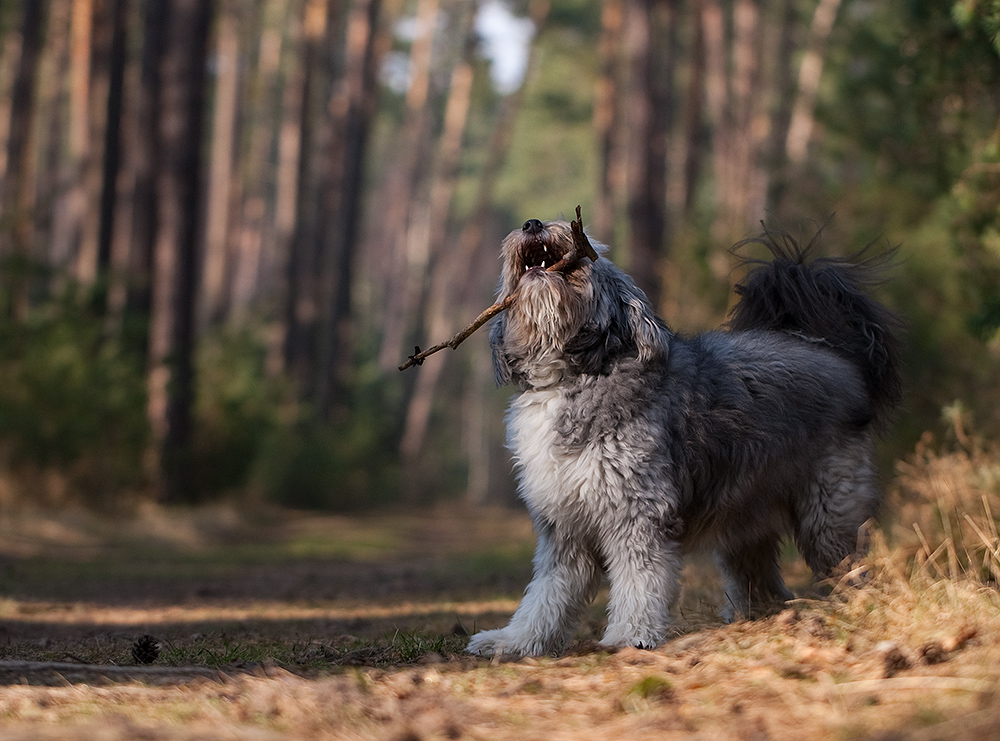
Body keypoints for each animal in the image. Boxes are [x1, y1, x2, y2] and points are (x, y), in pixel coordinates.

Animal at [464, 217, 904, 656]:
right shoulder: (564, 525)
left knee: (850, 566)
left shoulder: (637, 511)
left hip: (828, 513)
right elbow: (547, 593)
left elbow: (639, 579)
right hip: (746, 517)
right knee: (763, 581)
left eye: (591, 251)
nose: (533, 224)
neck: (577, 375)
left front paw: (631, 634)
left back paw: (856, 609)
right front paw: (516, 640)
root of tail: (834, 356)